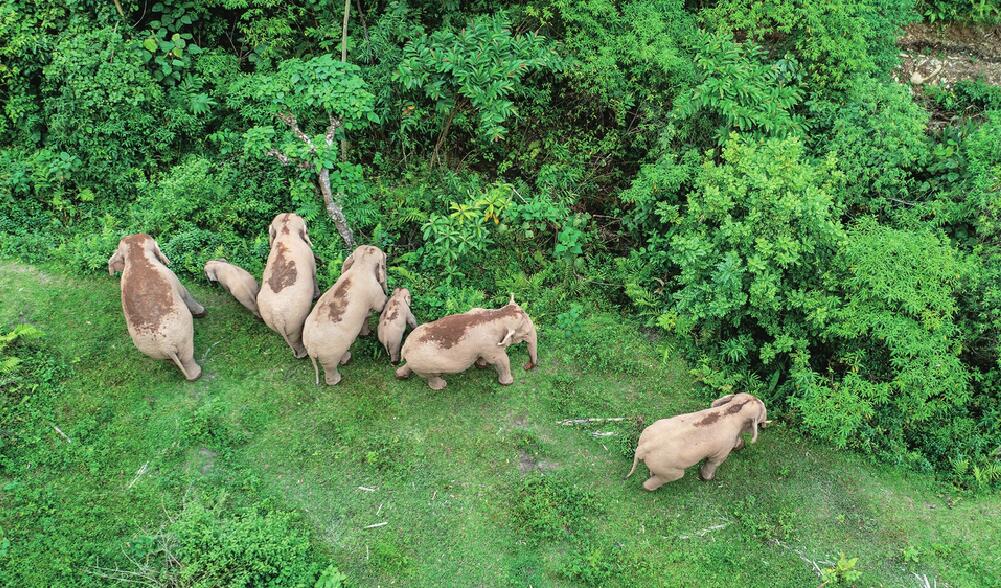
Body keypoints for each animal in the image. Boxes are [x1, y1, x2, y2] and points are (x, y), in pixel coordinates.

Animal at [108, 234, 206, 382]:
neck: (136, 256)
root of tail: (166, 346)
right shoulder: (172, 277)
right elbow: (184, 293)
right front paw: (203, 312)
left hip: (152, 351)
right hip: (184, 337)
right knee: (187, 355)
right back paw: (197, 374)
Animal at [256, 212, 318, 356]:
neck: (285, 232)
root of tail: (277, 317)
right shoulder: (310, 257)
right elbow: (314, 273)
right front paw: (316, 295)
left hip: (270, 320)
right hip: (294, 320)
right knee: (295, 335)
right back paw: (303, 354)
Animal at [300, 245, 386, 386]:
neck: (361, 265)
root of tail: (311, 347)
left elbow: (366, 314)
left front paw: (366, 333)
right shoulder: (375, 291)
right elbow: (380, 305)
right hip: (329, 352)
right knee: (331, 366)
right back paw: (339, 377)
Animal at [392, 294, 540, 390]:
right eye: (526, 332)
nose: (526, 366)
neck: (496, 315)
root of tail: (405, 348)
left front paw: (481, 365)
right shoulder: (490, 345)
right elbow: (501, 359)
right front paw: (507, 383)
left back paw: (400, 375)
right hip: (426, 364)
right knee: (432, 375)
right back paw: (441, 386)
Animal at [620, 396, 768, 492]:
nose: (765, 426)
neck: (733, 409)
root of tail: (643, 448)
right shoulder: (724, 446)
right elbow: (714, 462)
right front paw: (707, 478)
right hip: (666, 466)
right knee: (674, 476)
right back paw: (649, 488)